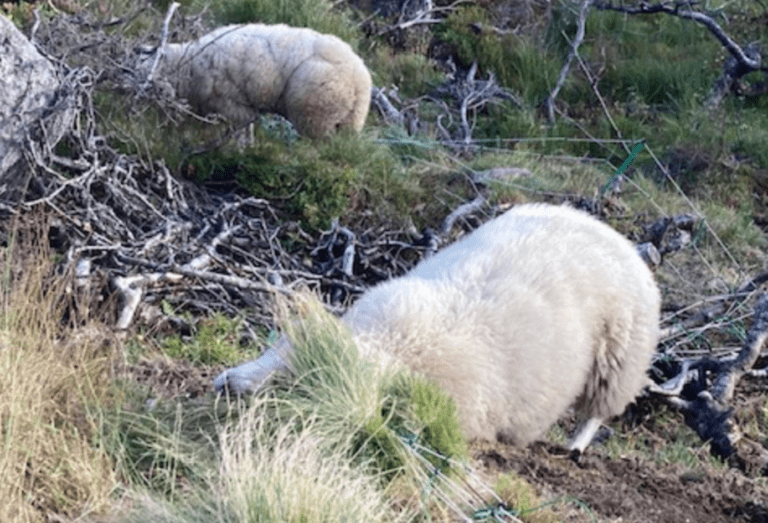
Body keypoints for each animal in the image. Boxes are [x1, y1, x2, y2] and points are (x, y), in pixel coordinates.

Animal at [149, 24, 372, 141]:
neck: (187, 66)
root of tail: (360, 79)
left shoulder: (230, 102)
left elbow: (239, 129)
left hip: (317, 105)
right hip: (351, 118)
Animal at [214, 203, 660, 452]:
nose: (225, 384)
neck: (397, 344)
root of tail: (610, 231)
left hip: (619, 356)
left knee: (596, 411)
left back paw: (575, 447)